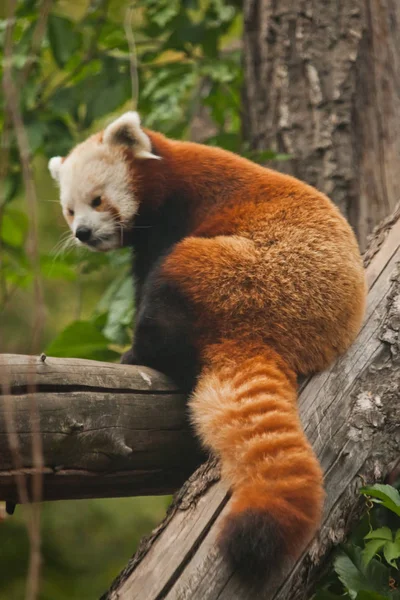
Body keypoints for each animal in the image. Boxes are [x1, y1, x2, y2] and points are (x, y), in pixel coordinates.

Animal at [48, 111, 368, 580]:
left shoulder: (172, 219)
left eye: (98, 200)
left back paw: (142, 354)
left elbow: (148, 276)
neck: (168, 173)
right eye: (70, 211)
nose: (83, 233)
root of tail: (264, 332)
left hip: (230, 272)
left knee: (170, 288)